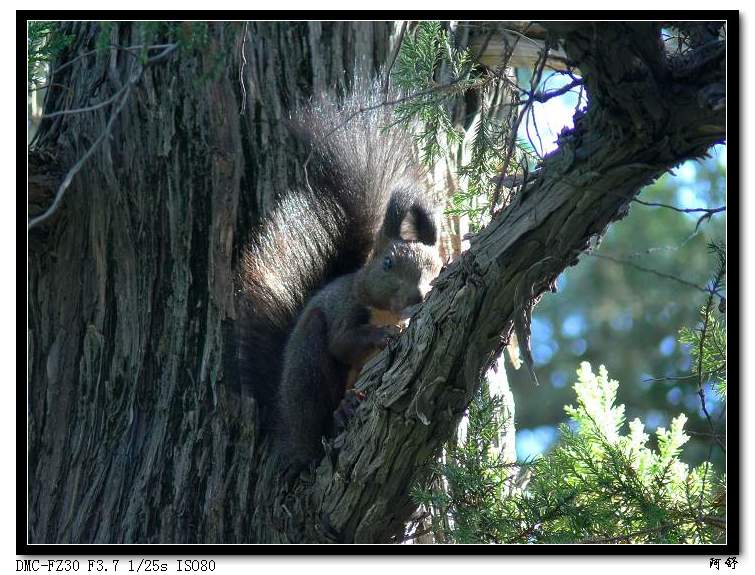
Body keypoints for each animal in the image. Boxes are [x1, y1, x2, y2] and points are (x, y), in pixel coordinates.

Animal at [236, 86, 442, 476]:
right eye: (388, 263)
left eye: (437, 268)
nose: (417, 296)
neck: (382, 308)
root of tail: (289, 430)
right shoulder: (345, 307)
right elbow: (342, 343)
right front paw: (382, 335)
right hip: (307, 366)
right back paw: (337, 415)